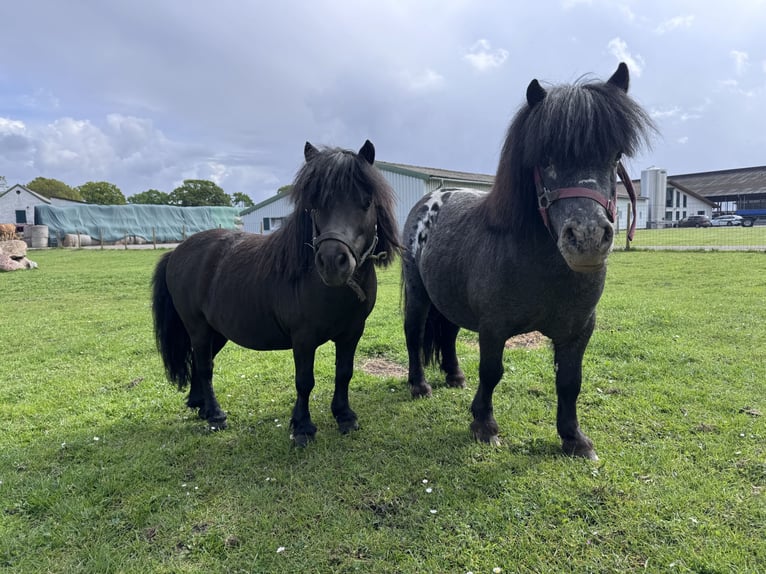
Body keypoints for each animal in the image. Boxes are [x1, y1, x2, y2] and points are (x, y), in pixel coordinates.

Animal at [152, 140, 400, 445]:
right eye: (314, 204)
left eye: (366, 202)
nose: (332, 262)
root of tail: (177, 251)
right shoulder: (303, 338)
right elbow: (305, 381)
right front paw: (303, 427)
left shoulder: (352, 333)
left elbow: (344, 373)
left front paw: (344, 416)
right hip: (197, 327)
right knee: (204, 367)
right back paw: (216, 415)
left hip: (216, 331)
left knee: (201, 363)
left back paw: (201, 406)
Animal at [401, 63, 655, 459]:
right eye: (545, 159)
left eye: (614, 156)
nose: (587, 238)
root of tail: (433, 197)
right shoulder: (493, 327)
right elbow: (492, 372)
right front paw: (484, 425)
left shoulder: (579, 328)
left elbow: (570, 381)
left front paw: (574, 438)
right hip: (418, 294)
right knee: (414, 334)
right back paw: (420, 385)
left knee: (449, 334)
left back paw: (455, 376)